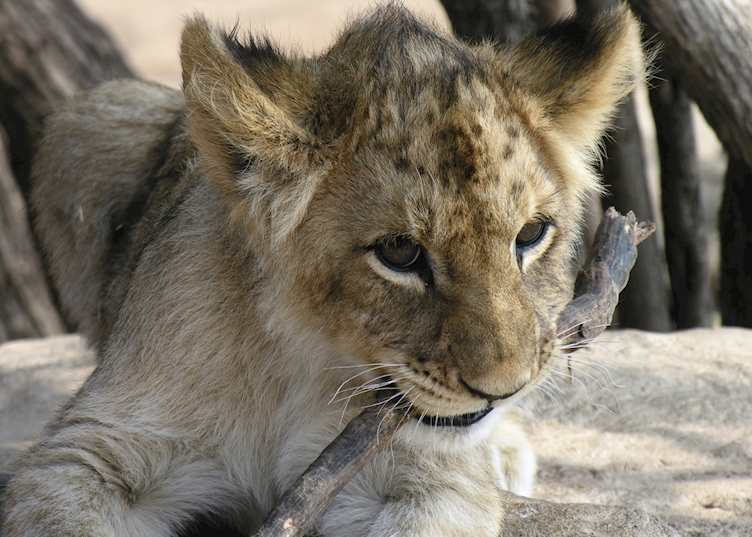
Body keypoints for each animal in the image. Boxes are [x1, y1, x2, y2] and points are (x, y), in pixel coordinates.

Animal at [2, 4, 645, 536]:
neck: (304, 357)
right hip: (95, 115)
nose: (503, 386)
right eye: (400, 252)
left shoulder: (420, 475)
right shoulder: (91, 452)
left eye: (531, 235)